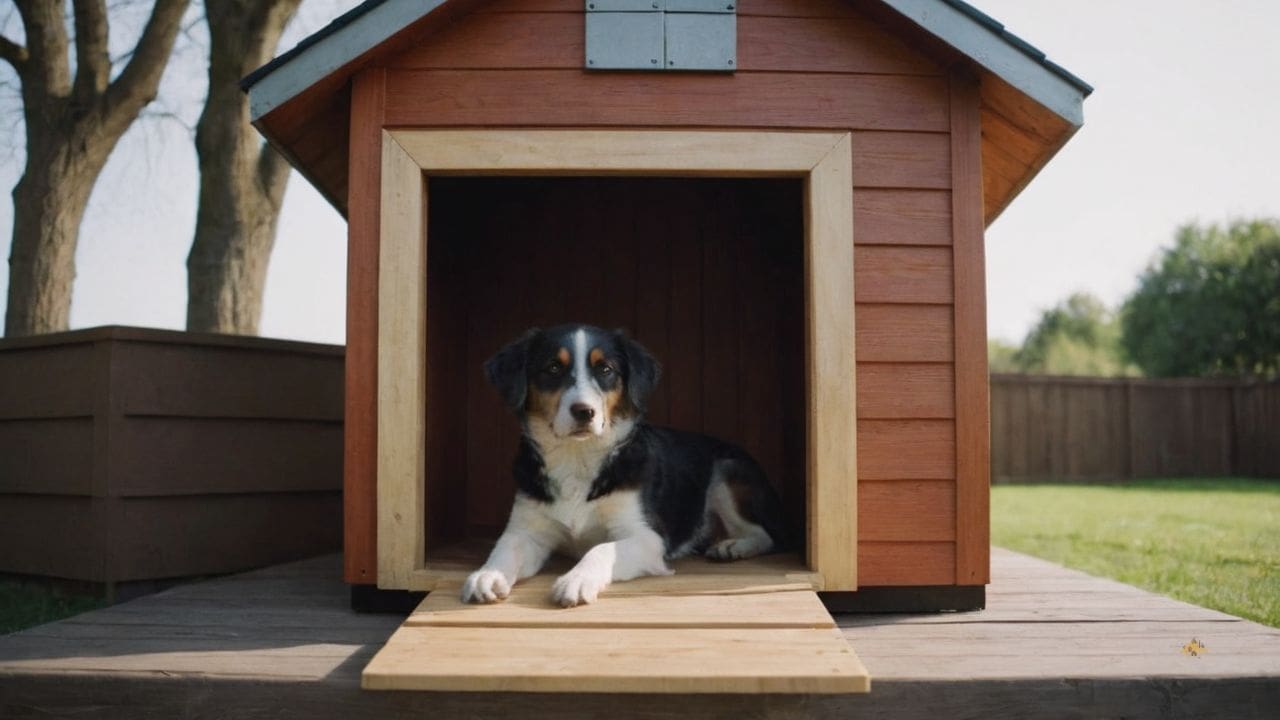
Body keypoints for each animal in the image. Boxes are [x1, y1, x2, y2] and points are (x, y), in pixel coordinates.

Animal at [460, 322, 788, 602]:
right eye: (553, 368)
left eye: (605, 369)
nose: (584, 412)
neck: (576, 458)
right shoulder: (528, 530)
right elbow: (505, 548)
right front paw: (486, 575)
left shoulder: (645, 536)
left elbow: (601, 549)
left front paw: (576, 580)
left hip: (727, 472)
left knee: (765, 535)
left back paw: (733, 546)